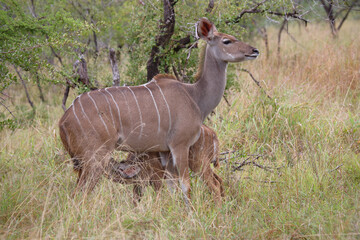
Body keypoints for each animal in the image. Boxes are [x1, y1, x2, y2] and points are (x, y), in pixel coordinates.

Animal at [57, 17, 258, 203]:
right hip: (96, 159)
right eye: (227, 41)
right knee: (79, 194)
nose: (254, 51)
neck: (194, 96)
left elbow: (172, 188)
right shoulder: (179, 145)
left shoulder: (164, 152)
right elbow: (185, 186)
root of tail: (63, 120)